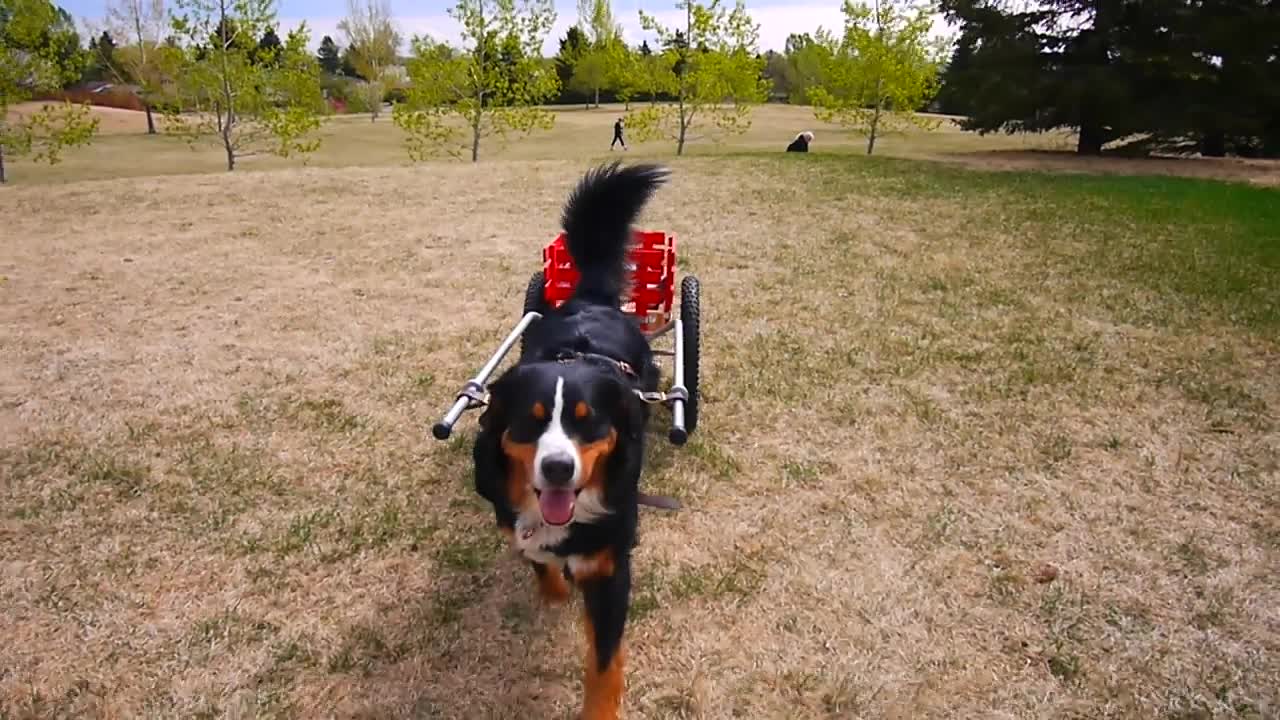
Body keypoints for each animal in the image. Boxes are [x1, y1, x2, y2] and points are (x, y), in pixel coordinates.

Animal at [471, 159, 670, 712]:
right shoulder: (515, 522)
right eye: (531, 420)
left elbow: (603, 662)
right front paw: (555, 594)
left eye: (588, 420)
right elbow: (538, 560)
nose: (558, 468)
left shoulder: (610, 568)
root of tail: (589, 297)